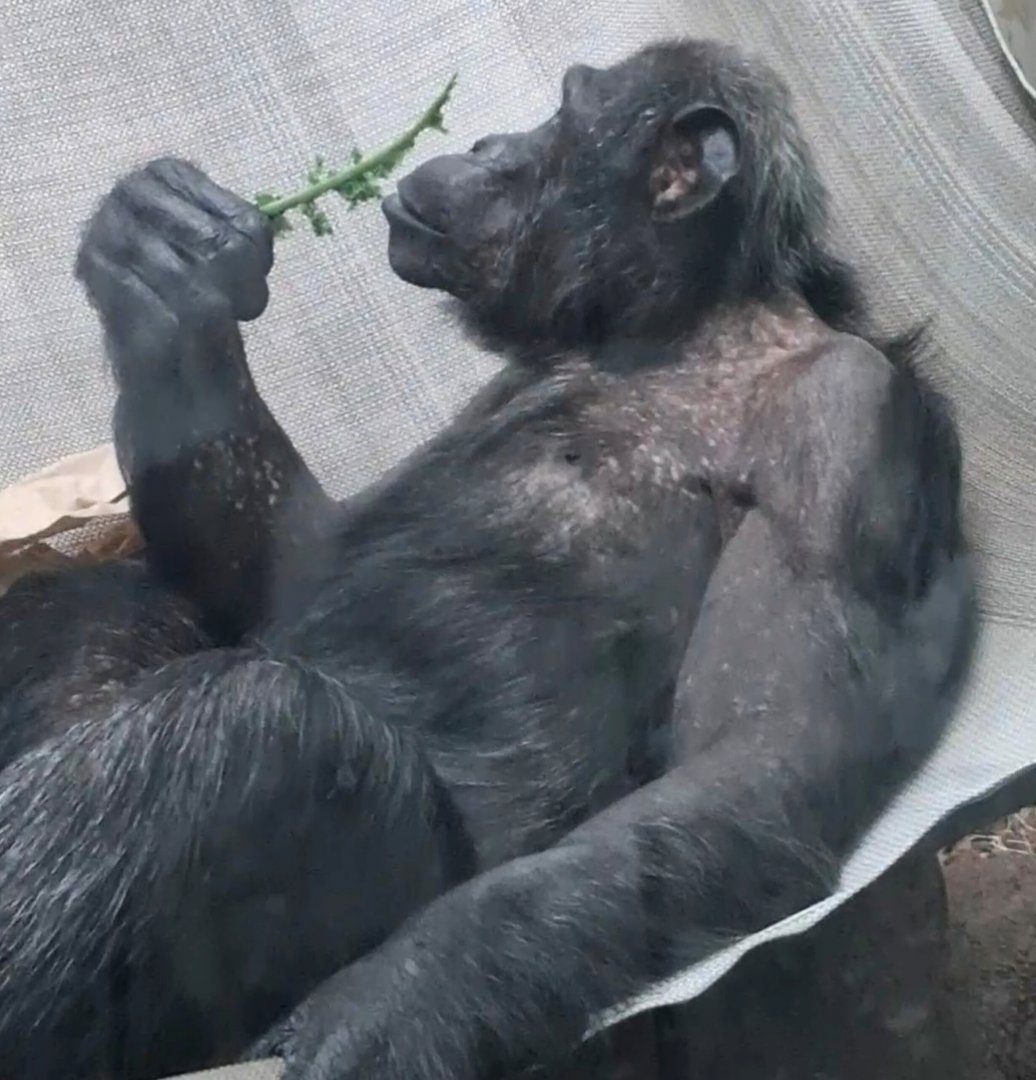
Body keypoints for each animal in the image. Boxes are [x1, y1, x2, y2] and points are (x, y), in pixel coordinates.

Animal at [0, 37, 973, 1080]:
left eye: (563, 111)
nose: (488, 141)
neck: (679, 332)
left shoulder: (846, 433)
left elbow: (761, 762)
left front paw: (388, 1004)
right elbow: (294, 569)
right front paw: (159, 266)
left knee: (262, 730)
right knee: (94, 613)